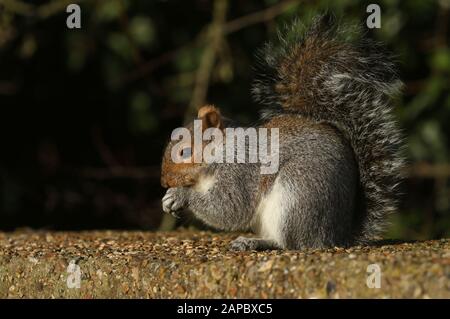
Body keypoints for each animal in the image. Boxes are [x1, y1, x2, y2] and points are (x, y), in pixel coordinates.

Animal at [161, 13, 404, 251]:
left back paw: (255, 242)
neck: (220, 152)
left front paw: (180, 196)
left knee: (292, 244)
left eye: (184, 152)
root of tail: (337, 236)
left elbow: (230, 207)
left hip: (297, 196)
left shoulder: (241, 171)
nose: (164, 182)